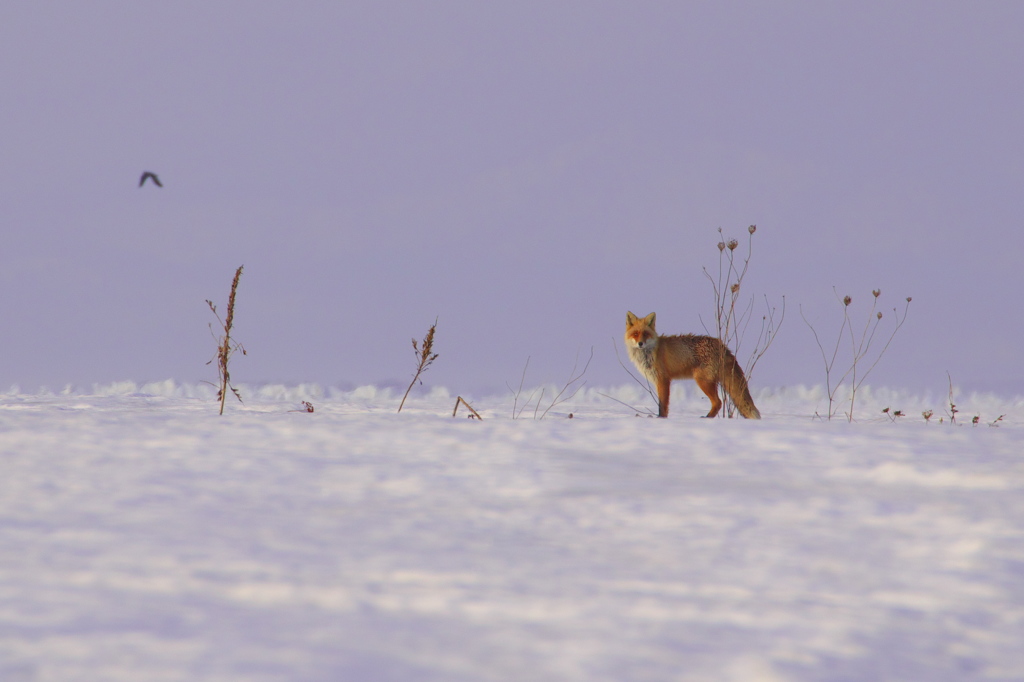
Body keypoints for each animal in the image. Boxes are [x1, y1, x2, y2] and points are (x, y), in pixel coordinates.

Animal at [622, 311, 761, 417]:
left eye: (645, 334)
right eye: (635, 334)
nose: (640, 343)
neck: (651, 353)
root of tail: (722, 345)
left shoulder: (663, 380)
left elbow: (663, 406)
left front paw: (661, 419)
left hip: (702, 380)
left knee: (718, 402)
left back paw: (706, 418)